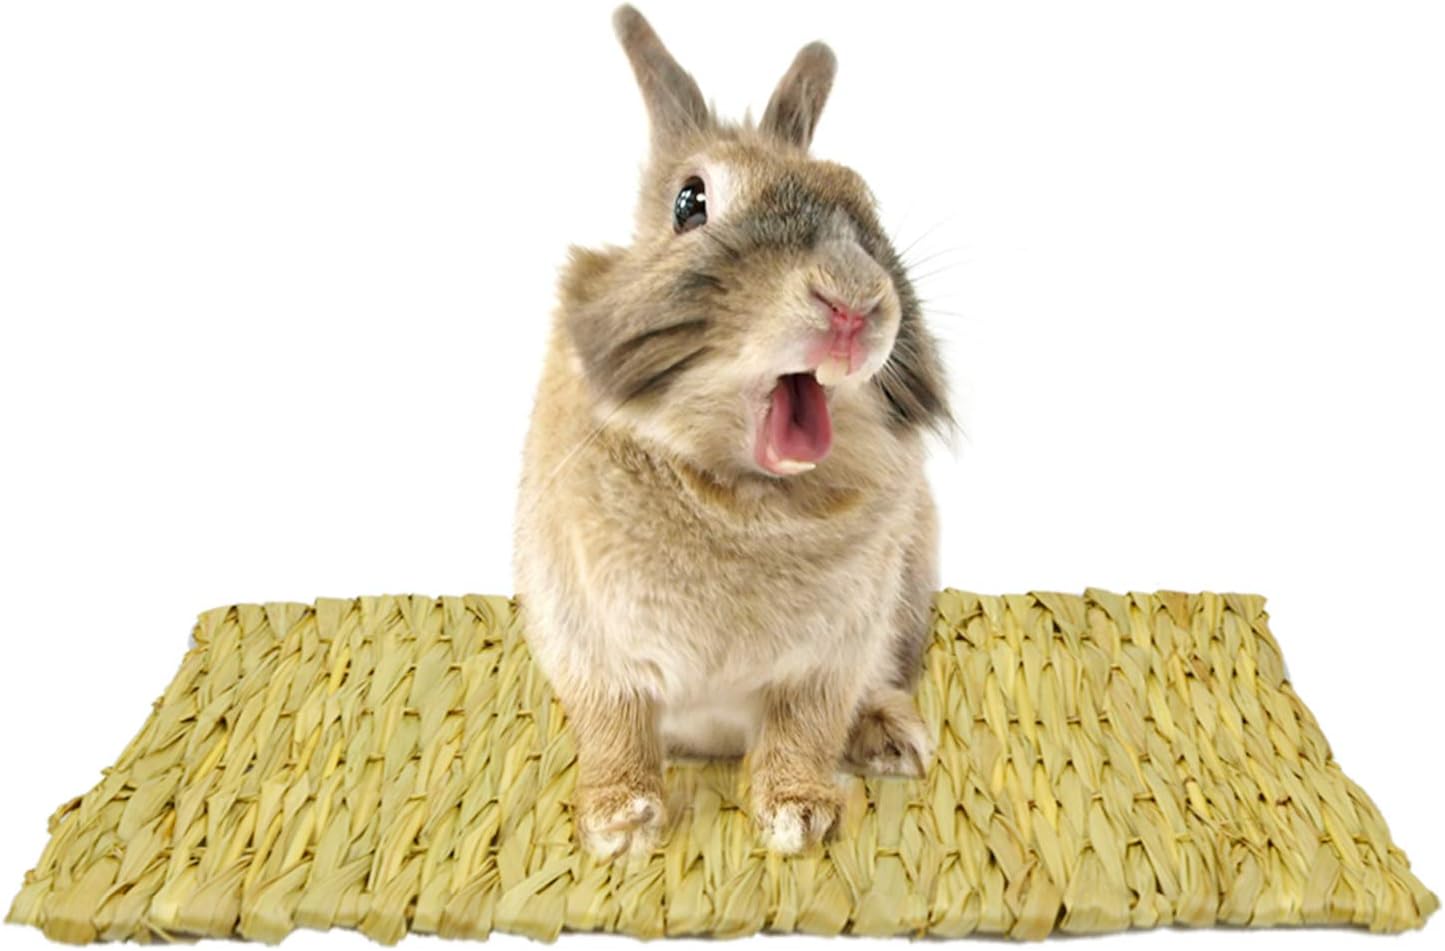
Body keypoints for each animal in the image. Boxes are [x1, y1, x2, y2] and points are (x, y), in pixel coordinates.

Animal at [513, 5, 951, 859]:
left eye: (863, 202)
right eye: (690, 202)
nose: (852, 302)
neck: (745, 499)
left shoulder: (830, 658)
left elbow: (803, 727)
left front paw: (797, 815)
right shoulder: (583, 633)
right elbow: (612, 723)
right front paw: (620, 821)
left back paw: (889, 738)